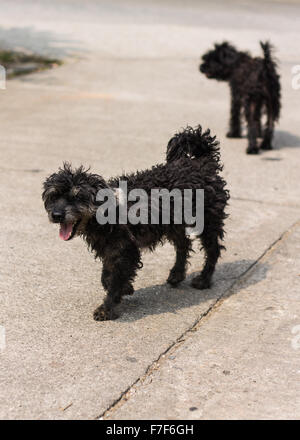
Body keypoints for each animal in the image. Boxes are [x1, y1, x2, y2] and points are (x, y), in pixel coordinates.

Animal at [42, 125, 230, 322]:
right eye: (54, 196)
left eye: (77, 196)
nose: (56, 215)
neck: (107, 212)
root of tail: (202, 163)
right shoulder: (110, 249)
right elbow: (106, 276)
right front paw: (125, 288)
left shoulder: (126, 250)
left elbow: (115, 279)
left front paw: (107, 308)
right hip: (175, 224)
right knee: (183, 245)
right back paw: (177, 274)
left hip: (208, 221)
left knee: (213, 249)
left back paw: (204, 279)